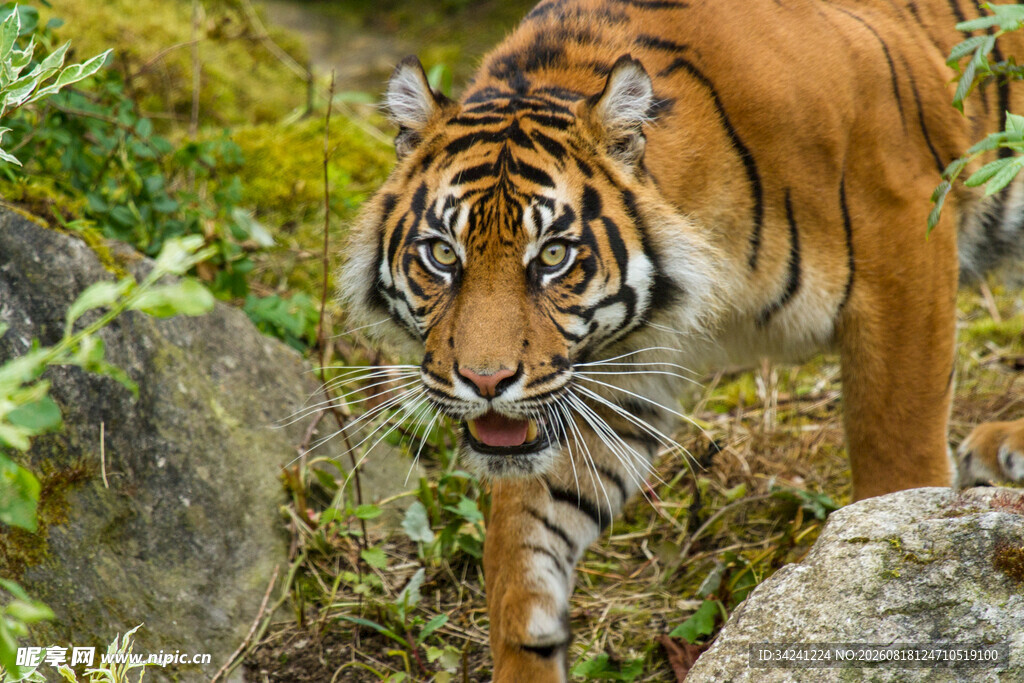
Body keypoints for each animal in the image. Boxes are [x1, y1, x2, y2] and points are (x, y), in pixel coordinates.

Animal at [340, 0, 1024, 679]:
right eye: (442, 254)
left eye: (554, 256)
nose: (485, 382)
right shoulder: (606, 375)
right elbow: (523, 543)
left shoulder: (904, 243)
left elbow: (896, 454)